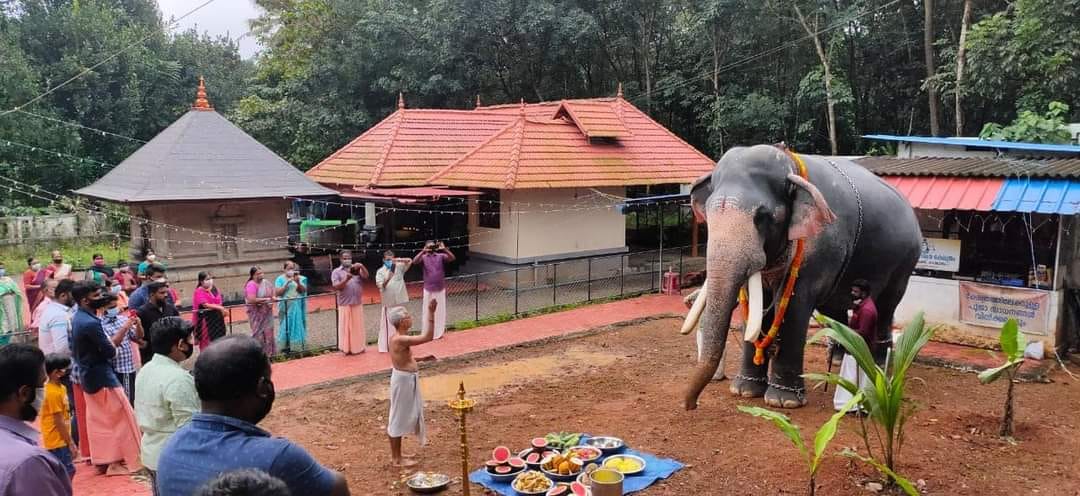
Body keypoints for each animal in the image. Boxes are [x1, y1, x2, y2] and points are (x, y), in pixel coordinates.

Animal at [682, 143, 920, 410]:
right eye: (708, 216)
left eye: (762, 217)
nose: (691, 406)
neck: (790, 166)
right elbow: (756, 307)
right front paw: (744, 391)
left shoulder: (818, 249)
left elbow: (795, 308)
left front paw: (783, 402)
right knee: (834, 309)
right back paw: (838, 360)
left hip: (904, 262)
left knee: (886, 305)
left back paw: (878, 366)